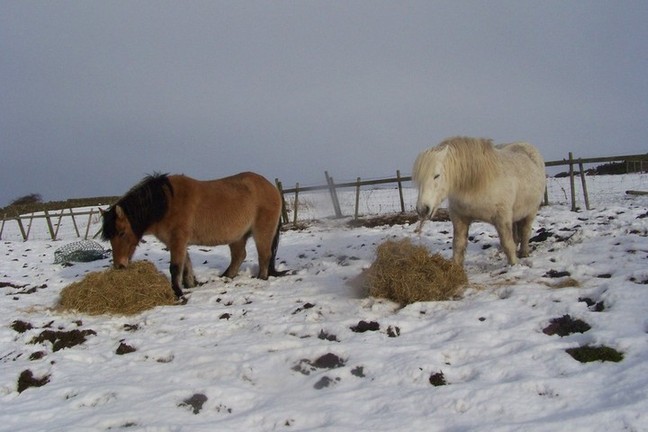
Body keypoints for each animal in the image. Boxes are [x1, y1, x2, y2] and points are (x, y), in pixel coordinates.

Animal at [100, 172, 284, 300]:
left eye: (121, 233)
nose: (119, 265)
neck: (167, 203)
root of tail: (271, 187)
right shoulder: (177, 242)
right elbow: (186, 264)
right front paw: (190, 285)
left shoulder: (178, 241)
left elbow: (175, 267)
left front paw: (177, 292)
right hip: (238, 236)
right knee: (239, 256)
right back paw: (226, 277)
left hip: (262, 232)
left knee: (264, 255)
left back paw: (261, 278)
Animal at [412, 137, 544, 266]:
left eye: (437, 175)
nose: (422, 209)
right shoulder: (459, 218)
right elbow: (458, 245)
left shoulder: (502, 218)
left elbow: (507, 244)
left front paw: (514, 265)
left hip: (531, 211)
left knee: (525, 232)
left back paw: (524, 253)